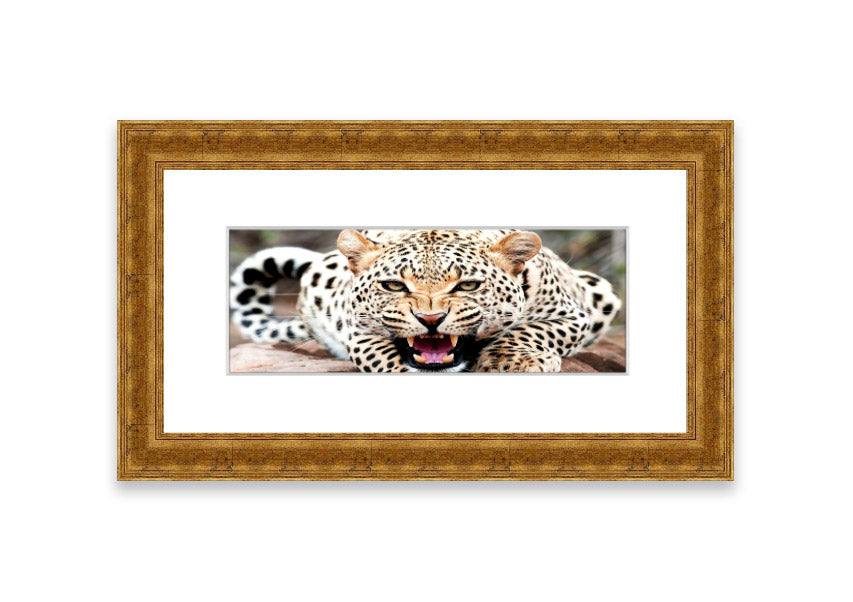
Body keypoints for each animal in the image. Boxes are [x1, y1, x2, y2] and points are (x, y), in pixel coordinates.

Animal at [230, 229, 621, 373]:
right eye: (393, 285)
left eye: (467, 285)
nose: (430, 320)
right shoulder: (358, 332)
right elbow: (384, 358)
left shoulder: (574, 314)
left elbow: (530, 331)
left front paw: (514, 361)